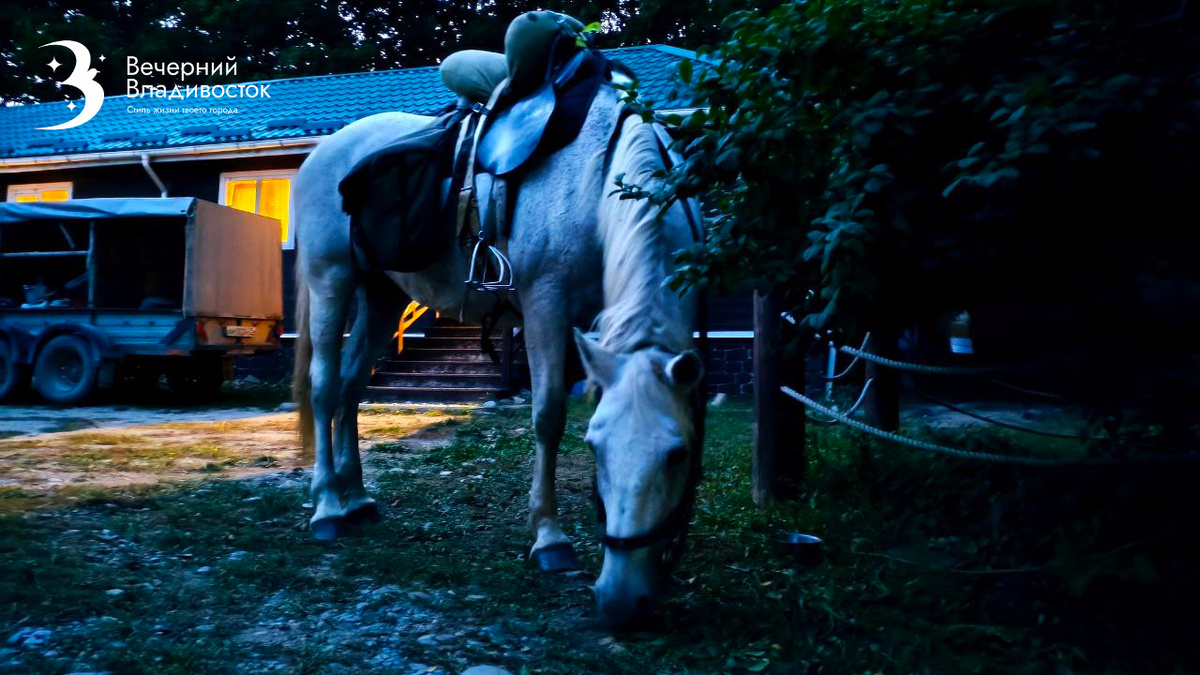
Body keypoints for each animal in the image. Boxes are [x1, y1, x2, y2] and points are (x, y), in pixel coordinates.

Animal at [291, 80, 705, 628]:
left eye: (678, 454)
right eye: (595, 449)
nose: (622, 600)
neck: (598, 180)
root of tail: (321, 153)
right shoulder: (546, 303)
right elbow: (548, 415)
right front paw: (550, 539)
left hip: (382, 297)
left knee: (352, 388)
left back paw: (357, 497)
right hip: (330, 280)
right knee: (324, 388)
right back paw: (328, 508)